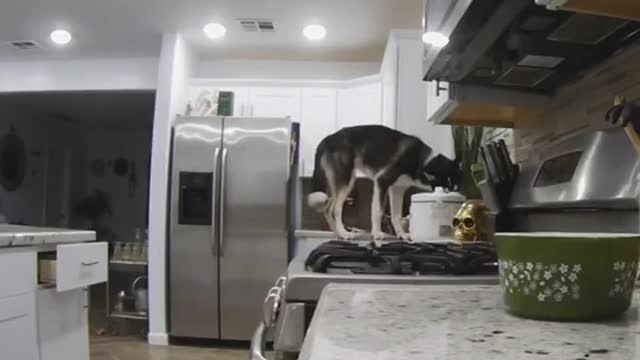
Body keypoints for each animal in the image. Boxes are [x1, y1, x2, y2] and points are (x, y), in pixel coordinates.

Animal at [306, 125, 460, 240]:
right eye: (445, 188)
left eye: (454, 187)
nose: (453, 194)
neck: (421, 159)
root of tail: (327, 139)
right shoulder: (382, 181)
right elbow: (378, 211)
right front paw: (377, 234)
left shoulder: (397, 189)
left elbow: (396, 215)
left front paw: (401, 235)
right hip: (346, 181)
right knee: (334, 209)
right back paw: (343, 233)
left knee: (327, 208)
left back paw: (338, 234)